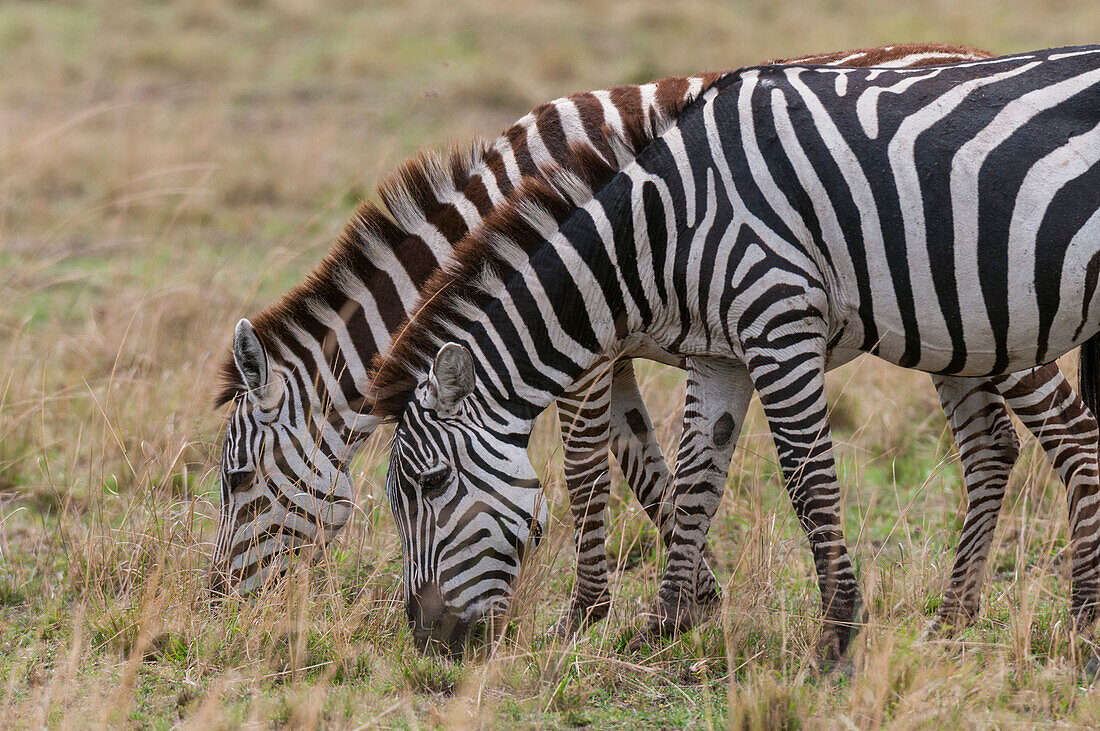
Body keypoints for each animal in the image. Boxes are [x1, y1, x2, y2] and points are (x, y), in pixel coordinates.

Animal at [369, 42, 1100, 663]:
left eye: (430, 484)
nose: (427, 640)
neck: (664, 228)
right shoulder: (721, 352)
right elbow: (693, 476)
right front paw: (665, 626)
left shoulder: (777, 319)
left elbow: (806, 482)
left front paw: (836, 636)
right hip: (961, 330)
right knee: (998, 444)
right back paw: (961, 622)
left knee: (1067, 436)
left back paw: (1081, 627)